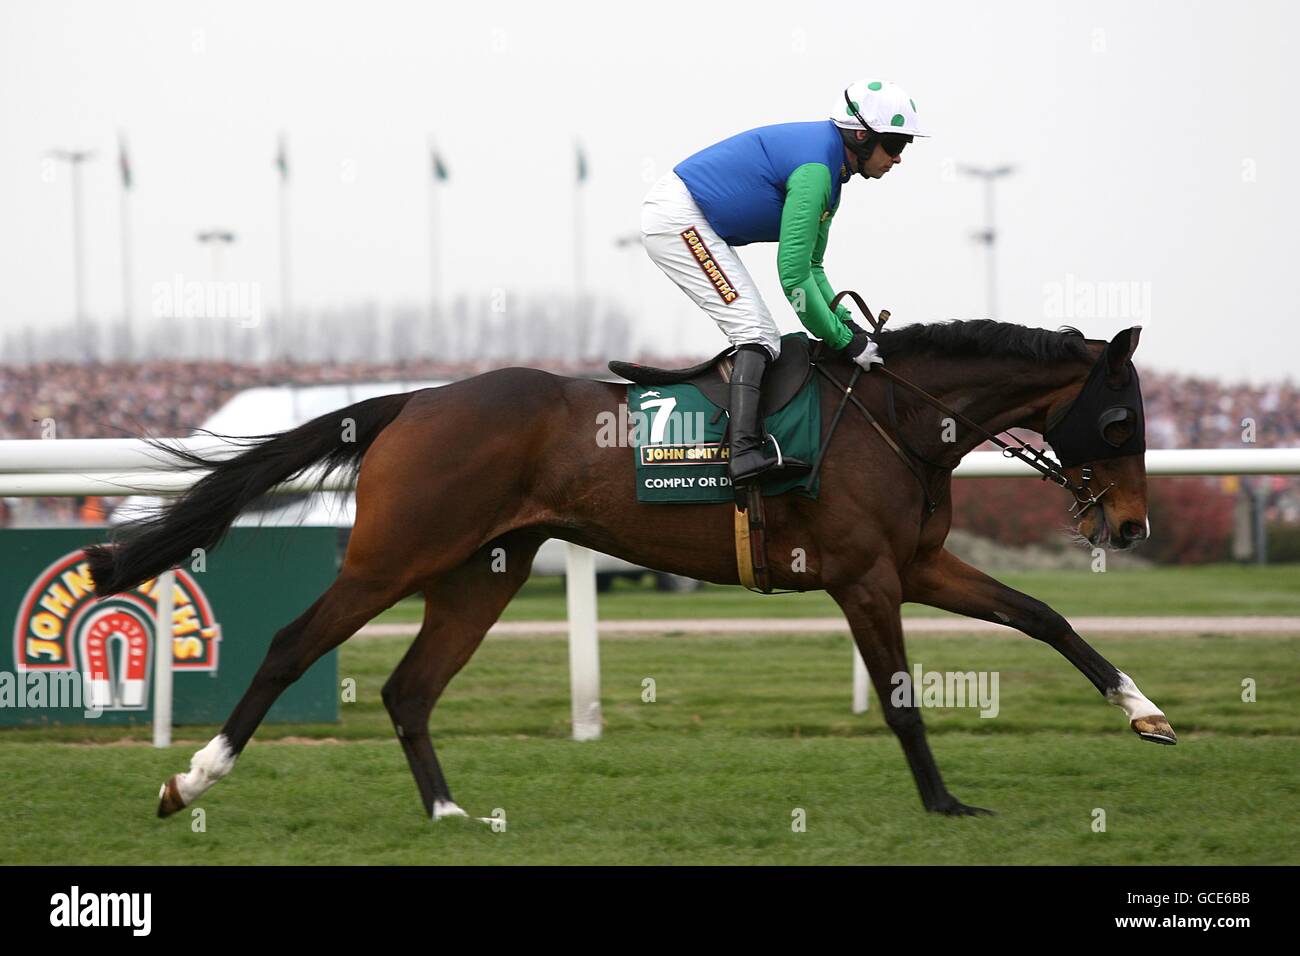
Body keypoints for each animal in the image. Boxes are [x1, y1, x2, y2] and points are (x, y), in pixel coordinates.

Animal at [83, 317, 1180, 816]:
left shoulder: (916, 564)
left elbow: (1043, 616)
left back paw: (449, 811)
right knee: (291, 642)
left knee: (408, 687)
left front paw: (1146, 712)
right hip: (396, 554)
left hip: (483, 569)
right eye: (1120, 420)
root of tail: (415, 400)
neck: (898, 420)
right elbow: (904, 698)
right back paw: (192, 778)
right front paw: (946, 803)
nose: (1132, 526)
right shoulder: (865, 576)